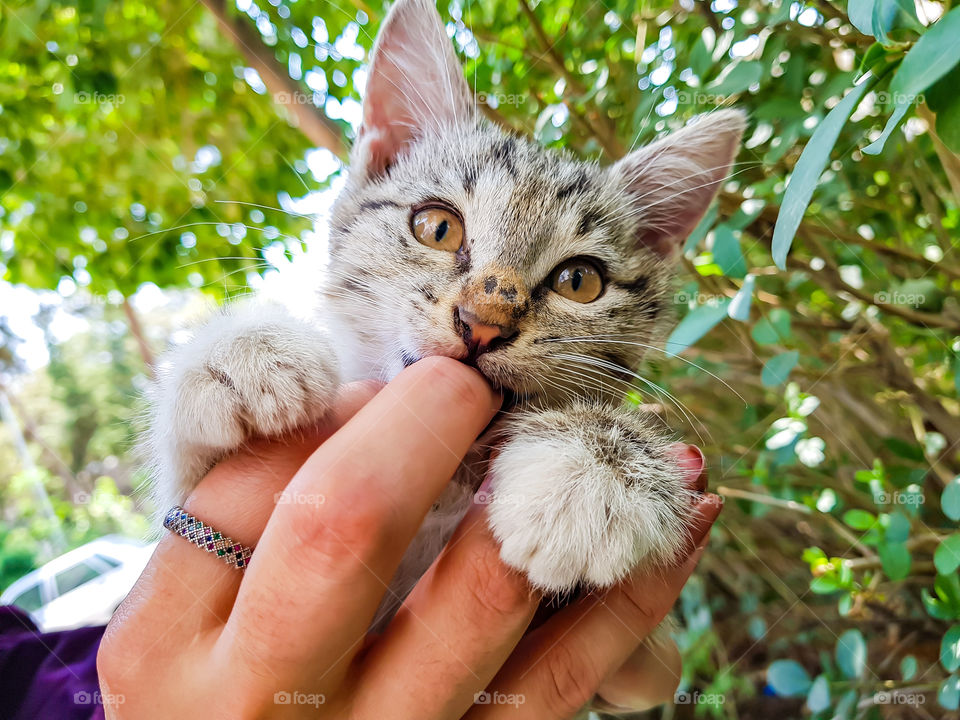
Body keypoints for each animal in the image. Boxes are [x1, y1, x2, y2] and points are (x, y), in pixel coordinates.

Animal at [148, 0, 744, 632]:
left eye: (580, 281)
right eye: (437, 227)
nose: (483, 322)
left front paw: (593, 476)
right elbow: (183, 482)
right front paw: (243, 352)